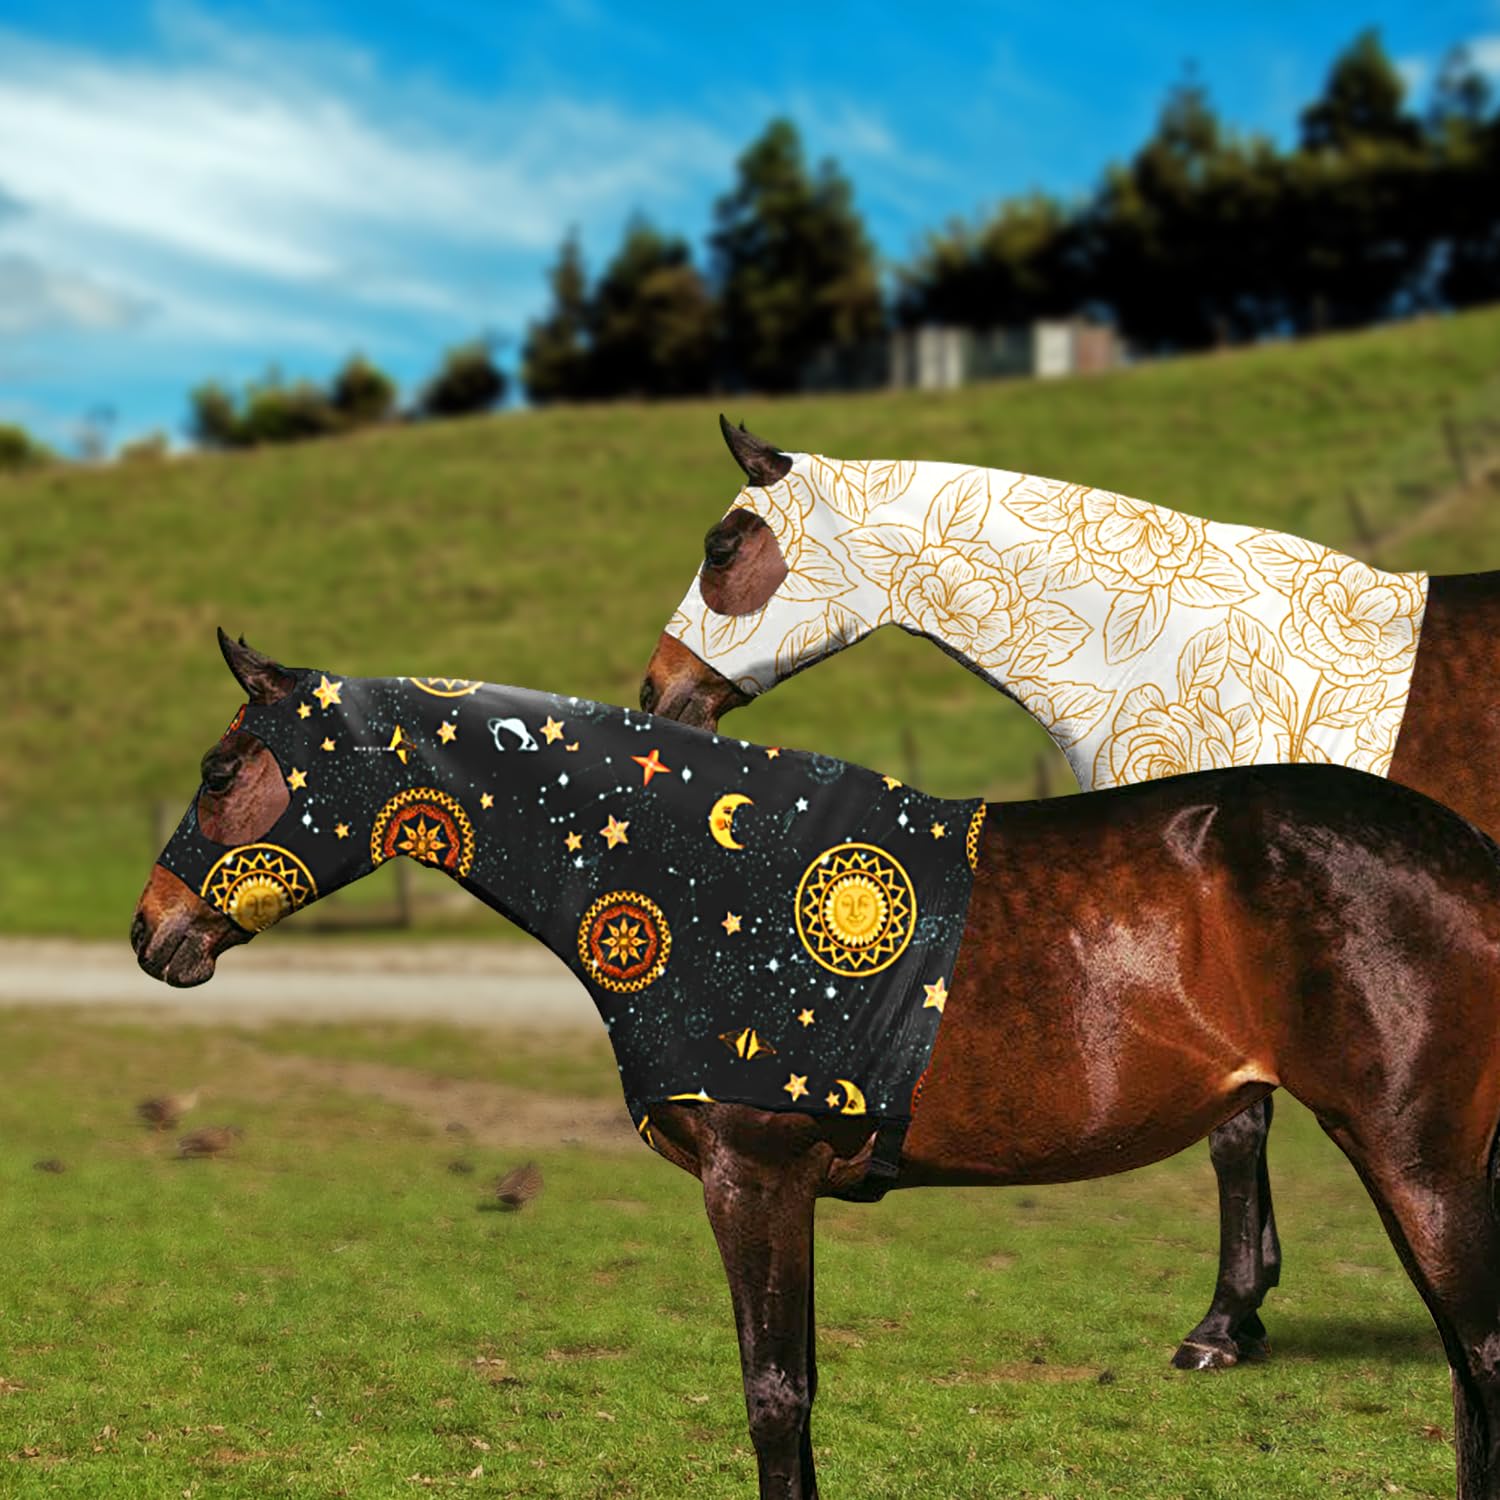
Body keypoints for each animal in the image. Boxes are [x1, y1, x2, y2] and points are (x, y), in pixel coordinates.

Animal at [136, 635, 1500, 1500]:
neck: (695, 877)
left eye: (220, 770)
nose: (152, 934)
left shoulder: (755, 1176)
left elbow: (775, 1397)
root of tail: (1466, 858)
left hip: (1419, 1160)